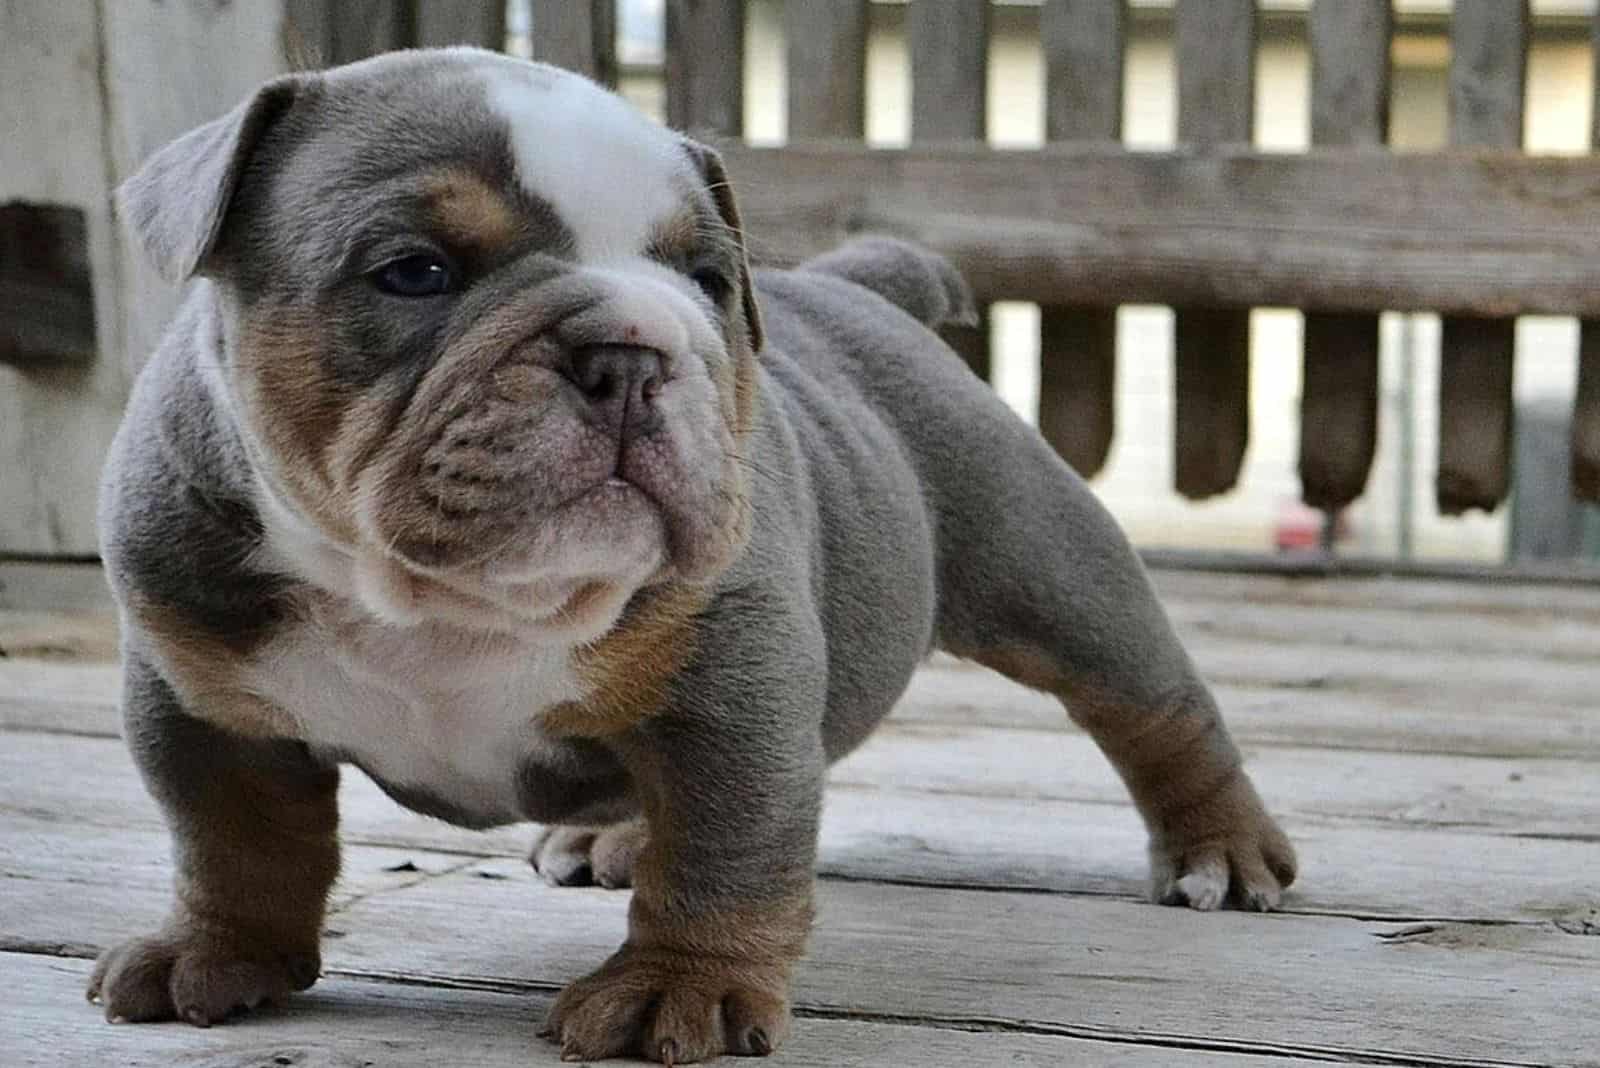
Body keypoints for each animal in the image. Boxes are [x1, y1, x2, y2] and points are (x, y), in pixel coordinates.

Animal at [87, 47, 1292, 1061]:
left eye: (708, 280)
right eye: (415, 271)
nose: (632, 350)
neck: (449, 604)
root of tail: (863, 289)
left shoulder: (730, 688)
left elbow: (726, 846)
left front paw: (679, 987)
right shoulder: (198, 696)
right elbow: (233, 839)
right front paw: (218, 954)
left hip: (1051, 571)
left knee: (1155, 708)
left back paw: (1219, 852)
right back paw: (607, 840)